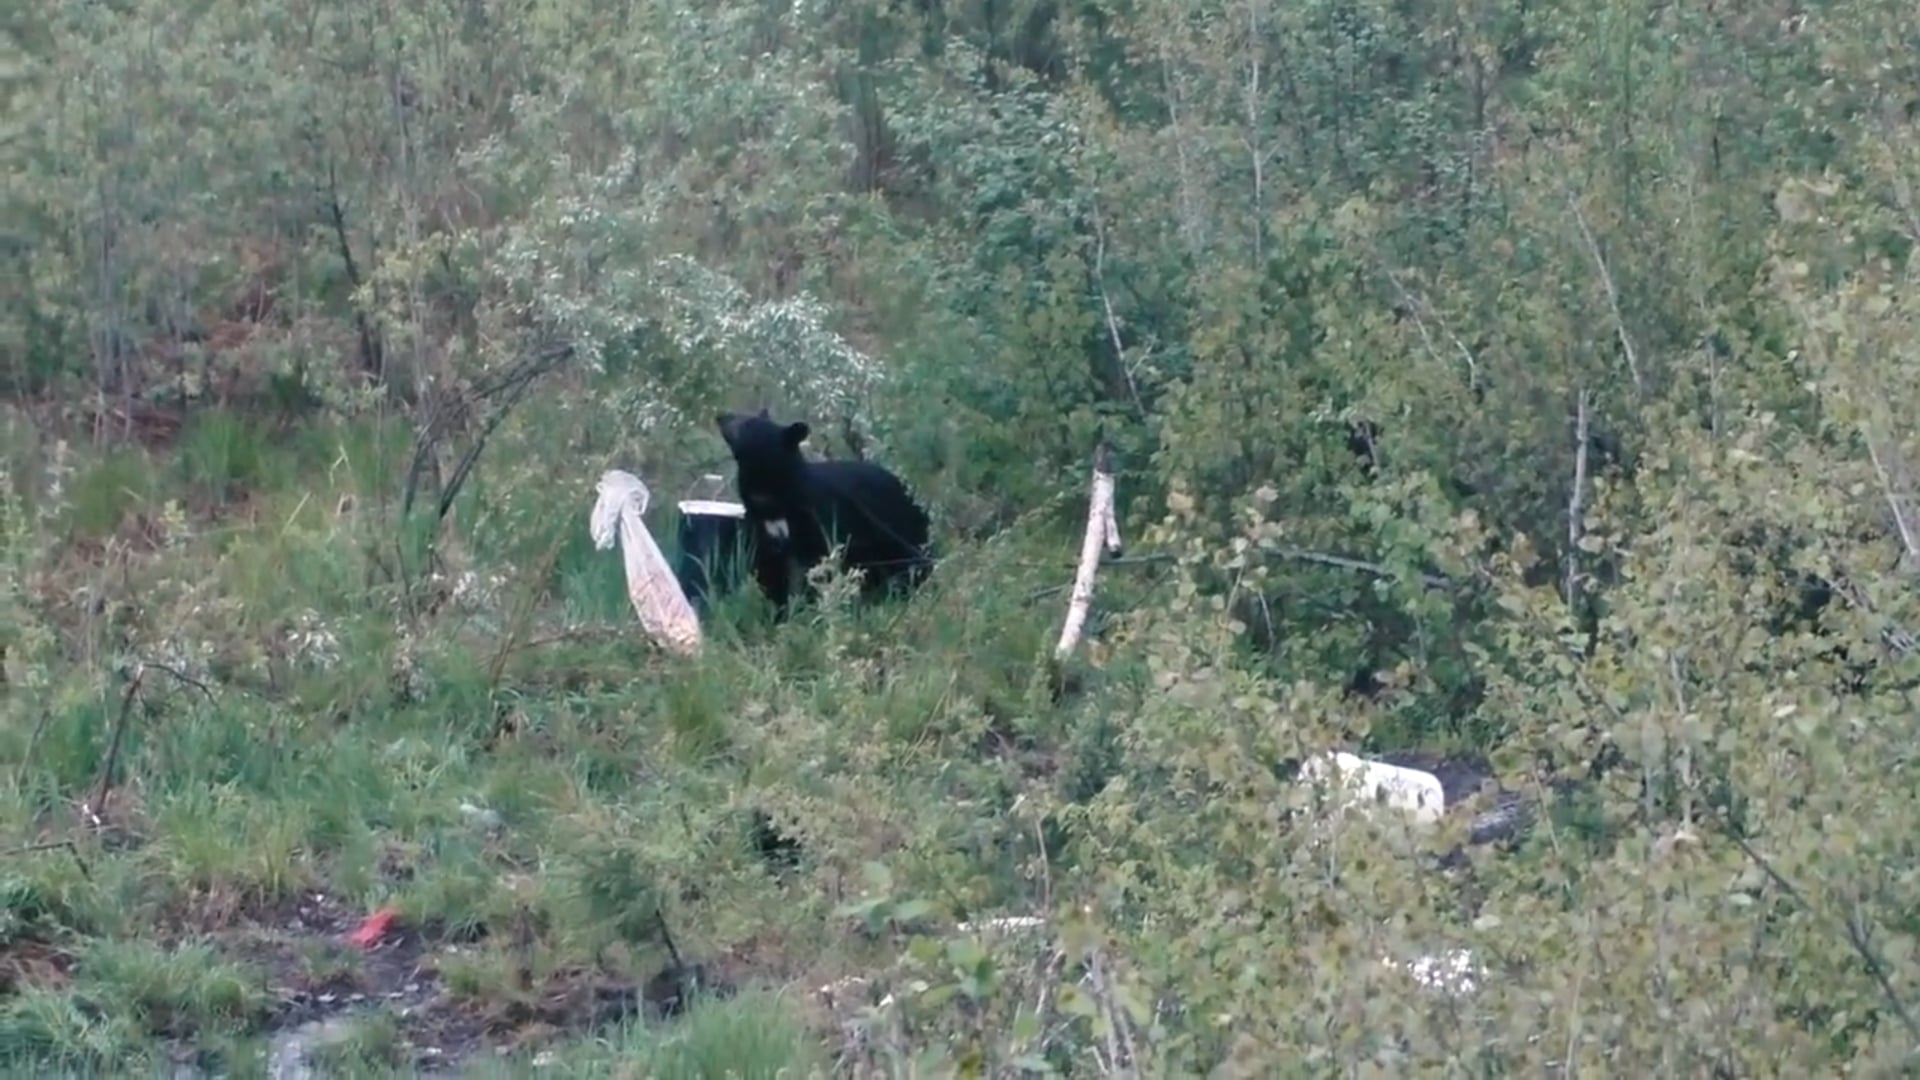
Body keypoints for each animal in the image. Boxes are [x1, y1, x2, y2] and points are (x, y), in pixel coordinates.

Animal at [715, 408, 934, 619]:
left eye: (746, 422)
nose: (721, 416)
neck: (773, 497)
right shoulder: (761, 528)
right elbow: (771, 571)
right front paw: (781, 613)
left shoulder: (816, 517)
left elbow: (816, 565)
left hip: (896, 528)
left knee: (910, 563)